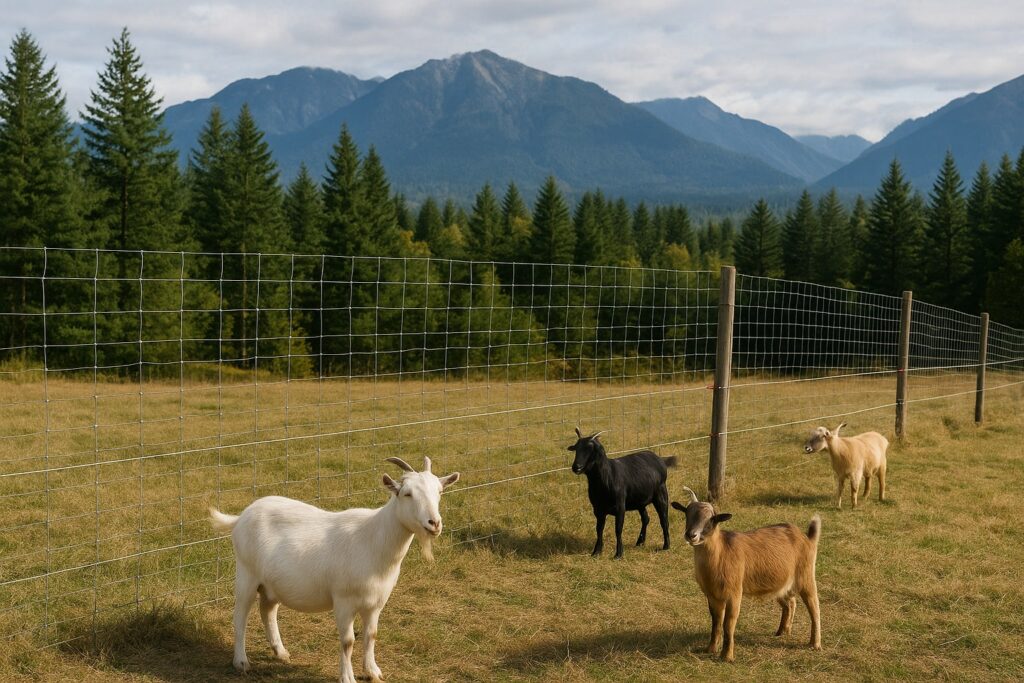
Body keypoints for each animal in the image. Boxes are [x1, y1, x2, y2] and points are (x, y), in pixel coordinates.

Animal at [208, 457, 459, 683]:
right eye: (407, 494)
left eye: (439, 492)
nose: (434, 523)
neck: (373, 540)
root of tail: (241, 517)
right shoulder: (343, 600)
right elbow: (348, 641)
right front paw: (347, 677)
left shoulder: (376, 602)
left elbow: (371, 635)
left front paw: (373, 672)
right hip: (246, 574)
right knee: (240, 616)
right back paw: (241, 662)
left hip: (272, 583)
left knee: (267, 610)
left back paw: (281, 652)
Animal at [568, 427, 677, 559]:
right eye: (576, 448)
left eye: (591, 449)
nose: (576, 467)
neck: (607, 476)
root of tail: (660, 460)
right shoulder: (598, 509)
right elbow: (599, 529)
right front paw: (596, 552)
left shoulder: (620, 506)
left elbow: (618, 529)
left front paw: (618, 553)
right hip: (639, 500)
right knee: (646, 518)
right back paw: (640, 542)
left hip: (661, 494)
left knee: (664, 519)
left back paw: (666, 546)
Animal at [672, 487, 821, 662]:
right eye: (687, 513)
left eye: (712, 520)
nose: (691, 535)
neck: (721, 552)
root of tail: (807, 538)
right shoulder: (713, 595)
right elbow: (716, 622)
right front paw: (710, 649)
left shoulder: (734, 593)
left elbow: (728, 624)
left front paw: (727, 656)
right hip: (781, 583)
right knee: (790, 602)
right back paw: (782, 632)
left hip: (806, 576)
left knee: (814, 607)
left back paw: (814, 644)